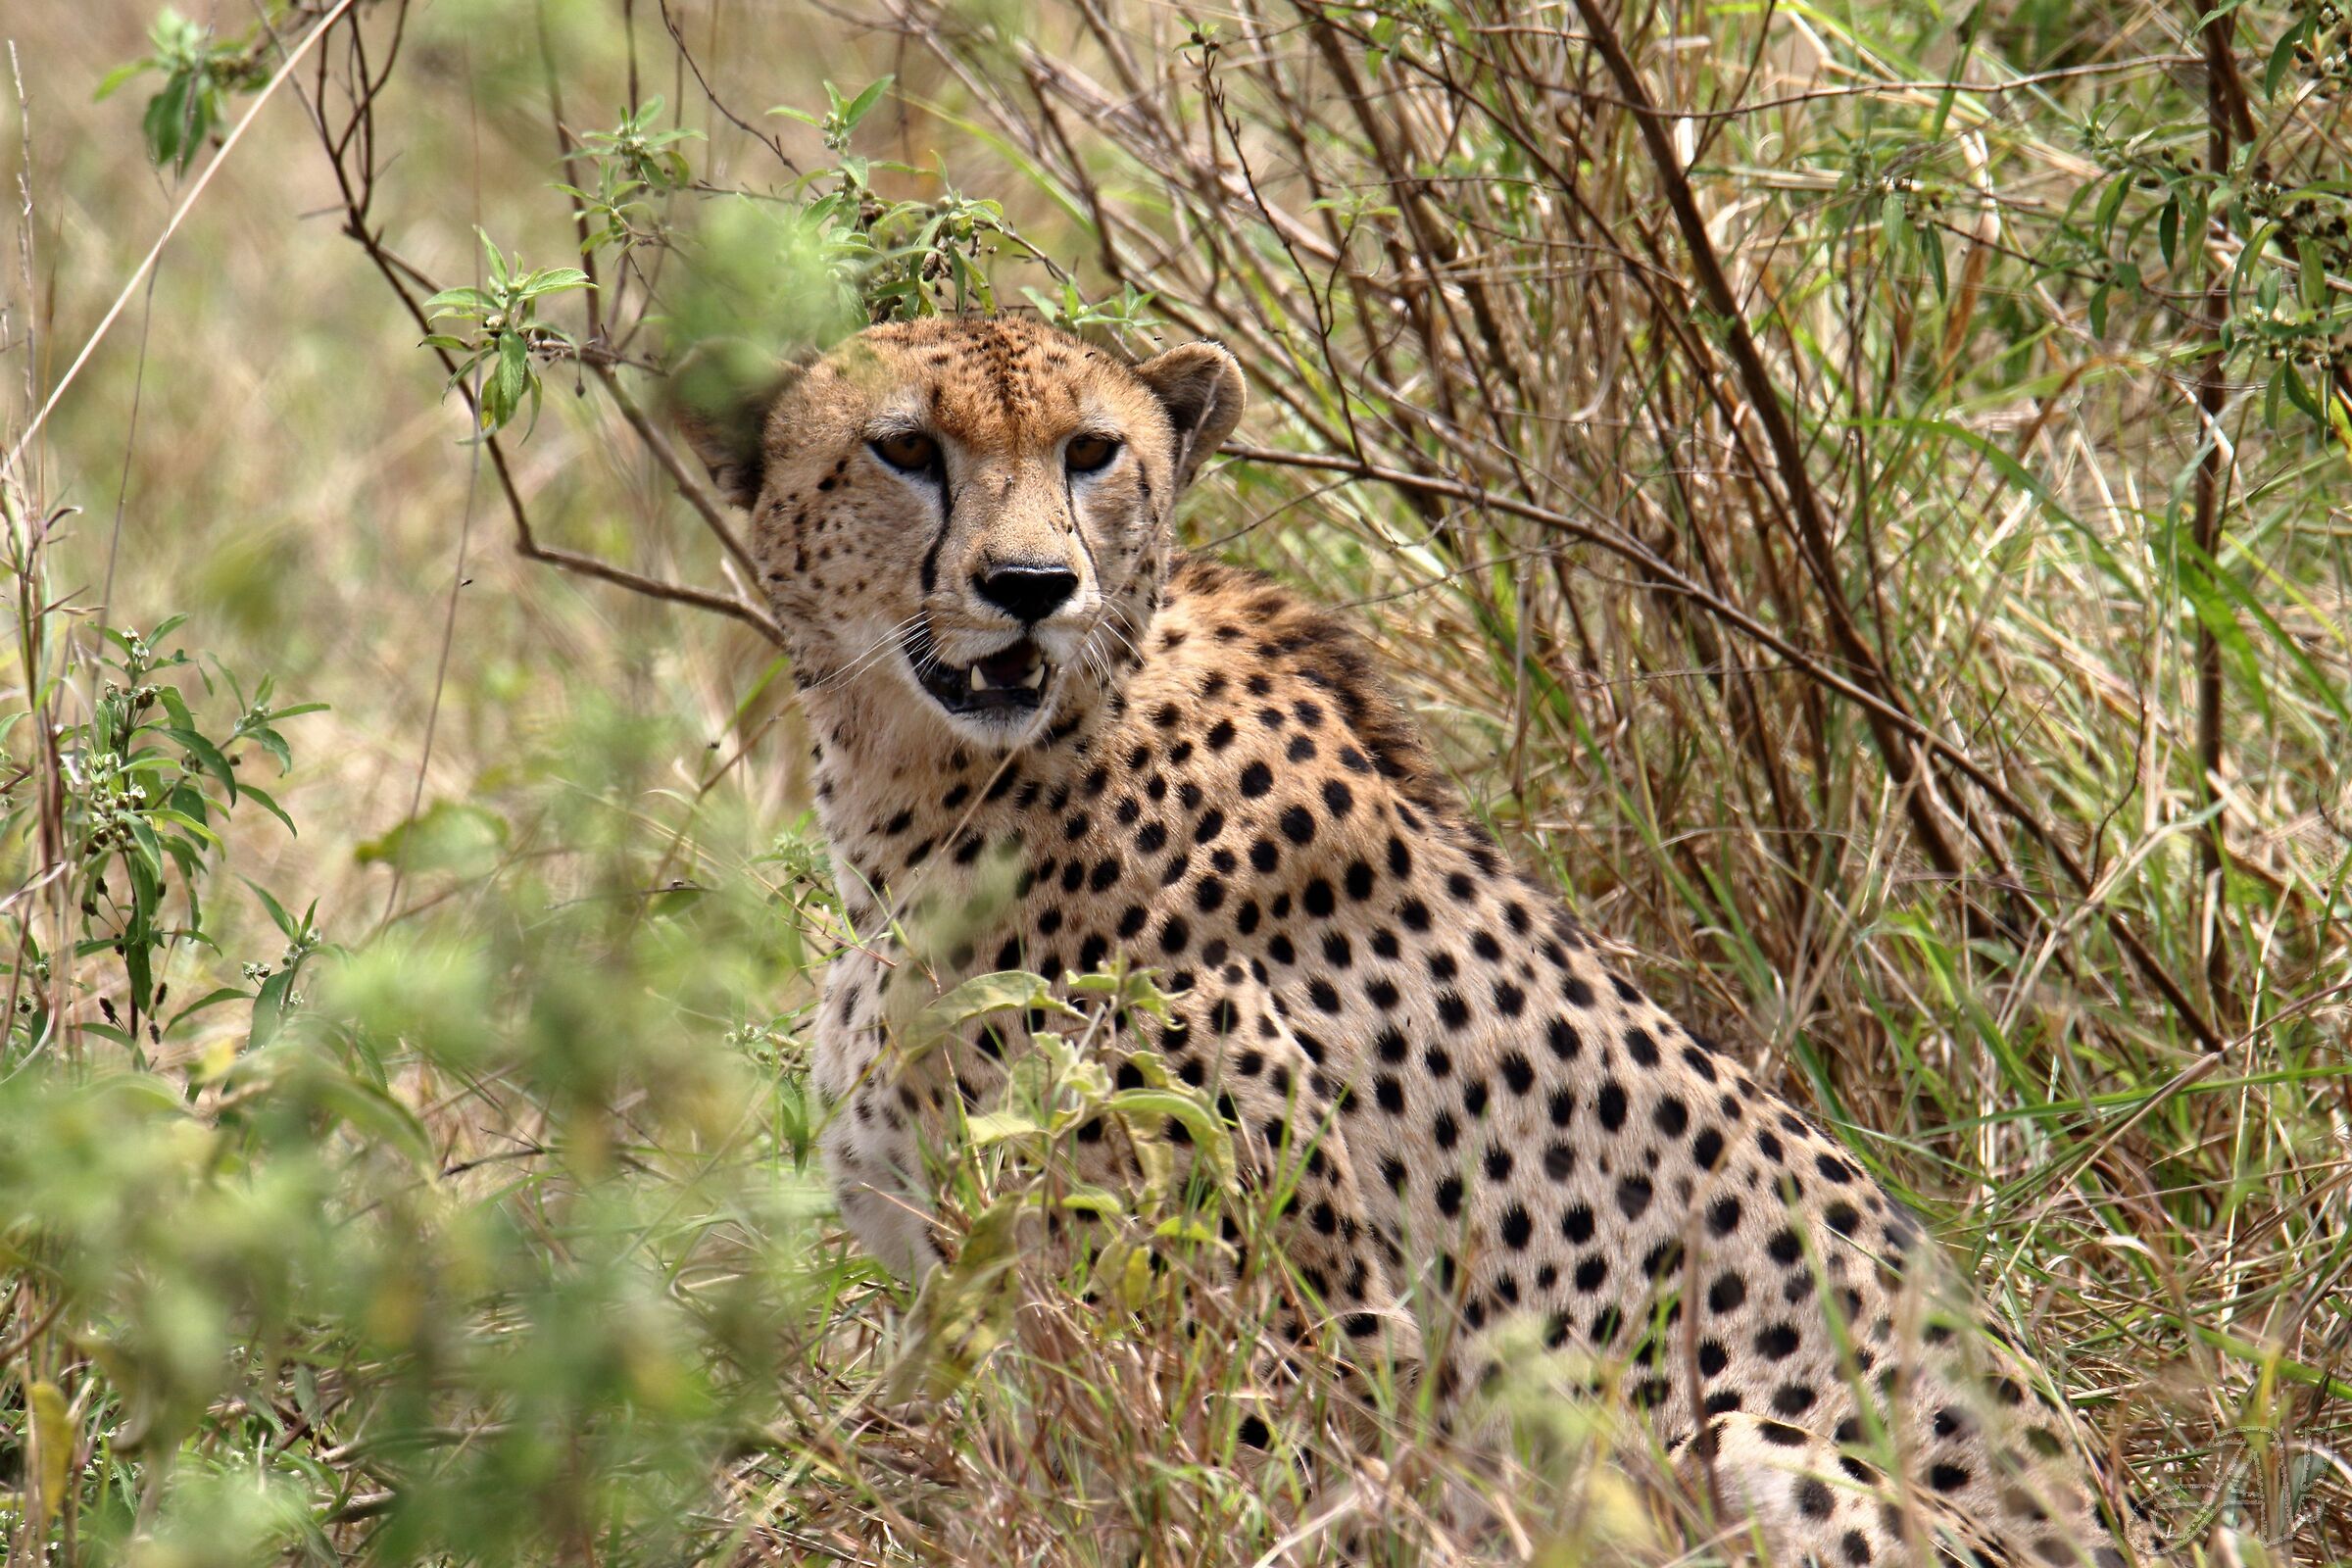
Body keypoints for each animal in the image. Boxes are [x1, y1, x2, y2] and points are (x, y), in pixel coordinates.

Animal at [677, 314, 2170, 1567]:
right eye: (906, 449)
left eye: (1090, 452)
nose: (1034, 584)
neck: (938, 785)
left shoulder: (1303, 1352)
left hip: (1750, 1438)